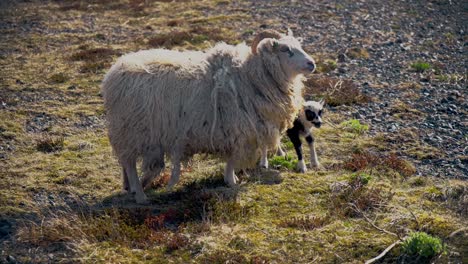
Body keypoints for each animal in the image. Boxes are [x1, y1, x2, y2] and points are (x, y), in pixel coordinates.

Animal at [101, 29, 316, 204]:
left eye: (299, 46)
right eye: (286, 49)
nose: (312, 64)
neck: (251, 75)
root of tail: (113, 75)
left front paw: (232, 179)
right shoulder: (236, 130)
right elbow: (232, 159)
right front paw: (231, 181)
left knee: (126, 163)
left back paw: (130, 187)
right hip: (132, 130)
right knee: (130, 163)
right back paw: (140, 195)